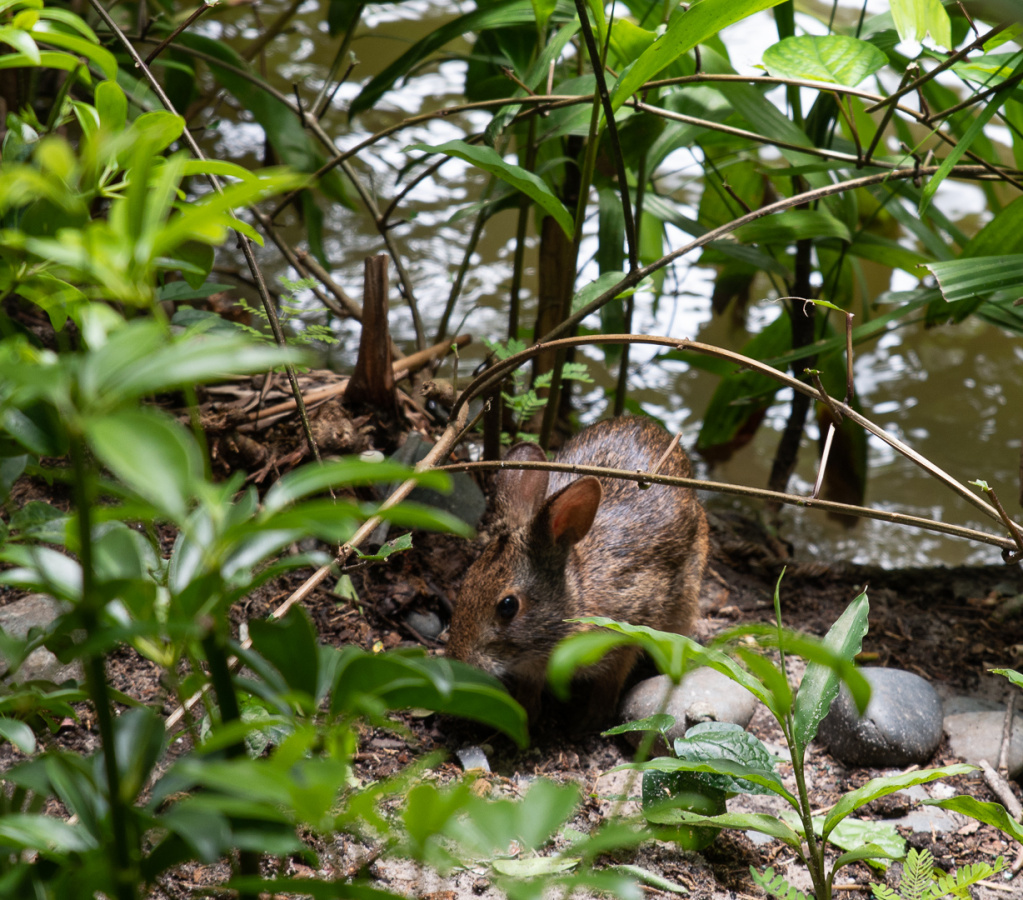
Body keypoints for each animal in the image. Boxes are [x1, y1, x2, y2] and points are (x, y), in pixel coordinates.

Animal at [447, 415, 708, 725]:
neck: (576, 595)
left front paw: (594, 717)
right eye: (466, 582)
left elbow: (612, 677)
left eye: (508, 606)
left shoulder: (632, 627)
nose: (459, 660)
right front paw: (527, 712)